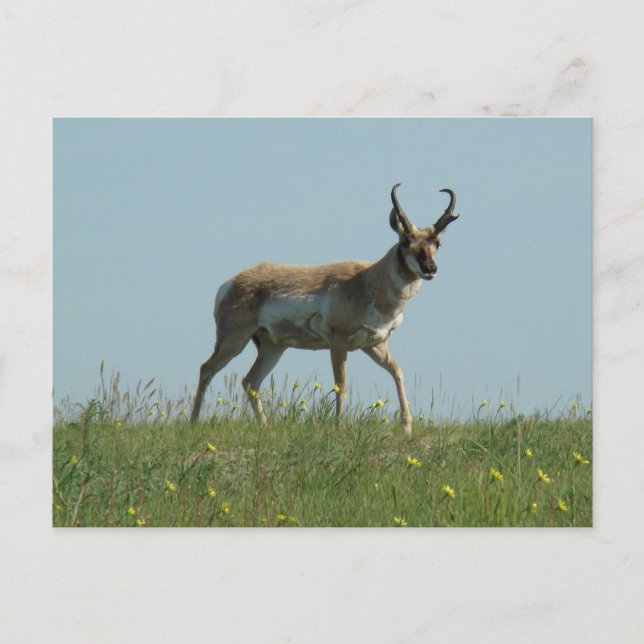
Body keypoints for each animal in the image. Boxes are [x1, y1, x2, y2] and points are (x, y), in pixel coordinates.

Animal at [190, 183, 459, 435]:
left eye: (437, 242)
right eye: (405, 241)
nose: (430, 269)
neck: (369, 280)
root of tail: (230, 283)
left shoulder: (374, 344)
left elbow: (398, 373)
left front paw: (407, 427)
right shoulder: (339, 340)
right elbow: (341, 383)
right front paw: (339, 427)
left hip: (272, 346)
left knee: (250, 381)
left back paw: (265, 426)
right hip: (234, 339)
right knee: (207, 369)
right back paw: (193, 422)